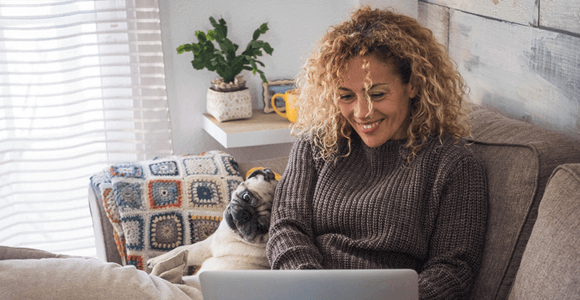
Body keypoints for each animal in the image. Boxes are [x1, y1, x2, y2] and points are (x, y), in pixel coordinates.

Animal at [147, 169, 278, 288]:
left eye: (261, 227)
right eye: (246, 197)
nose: (246, 215)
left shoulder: (206, 247)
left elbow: (180, 251)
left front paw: (153, 261)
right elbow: (179, 250)